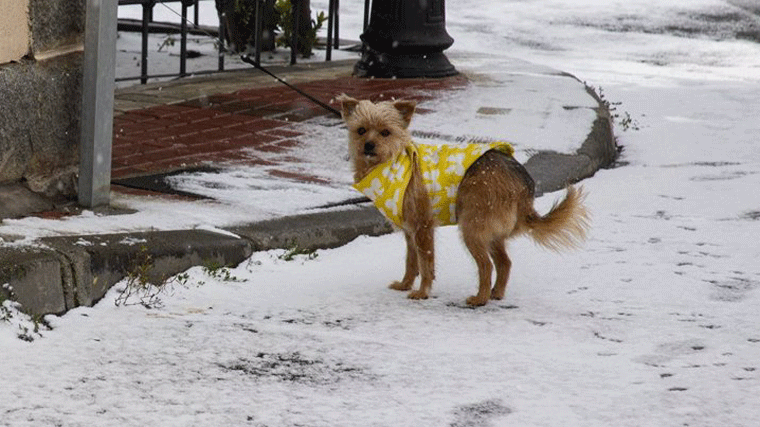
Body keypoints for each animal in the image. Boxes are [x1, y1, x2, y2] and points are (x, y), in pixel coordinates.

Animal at [338, 95, 592, 306]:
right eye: (361, 130)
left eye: (385, 132)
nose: (368, 145)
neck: (392, 161)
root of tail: (522, 181)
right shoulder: (410, 231)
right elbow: (411, 261)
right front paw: (404, 284)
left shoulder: (423, 227)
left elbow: (426, 263)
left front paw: (422, 292)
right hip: (491, 231)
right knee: (504, 262)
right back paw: (496, 293)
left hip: (472, 226)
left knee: (487, 265)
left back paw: (480, 298)